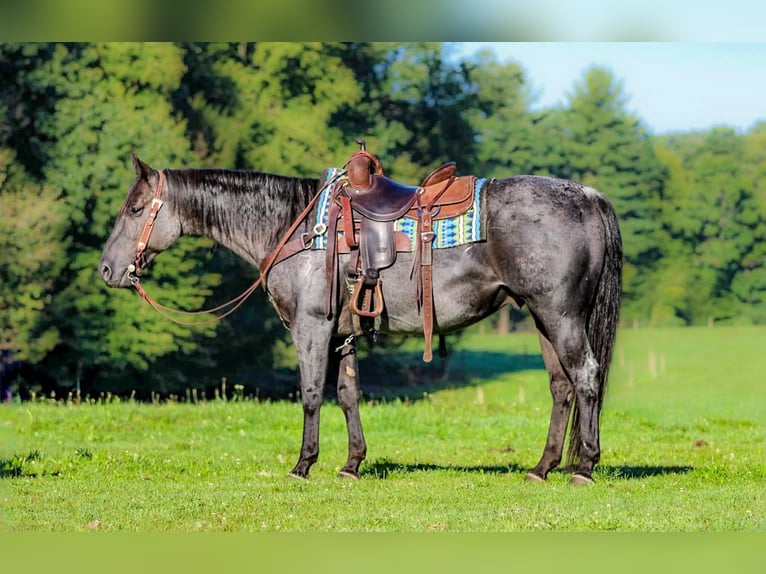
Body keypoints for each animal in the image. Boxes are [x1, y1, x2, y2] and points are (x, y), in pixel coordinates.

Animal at [99, 152, 622, 485]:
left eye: (136, 208)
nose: (107, 269)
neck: (295, 227)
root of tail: (588, 196)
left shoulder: (311, 327)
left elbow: (312, 394)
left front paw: (303, 465)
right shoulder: (341, 335)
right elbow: (349, 395)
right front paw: (351, 464)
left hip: (560, 314)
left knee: (586, 377)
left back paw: (583, 468)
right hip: (542, 318)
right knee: (561, 387)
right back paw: (541, 468)